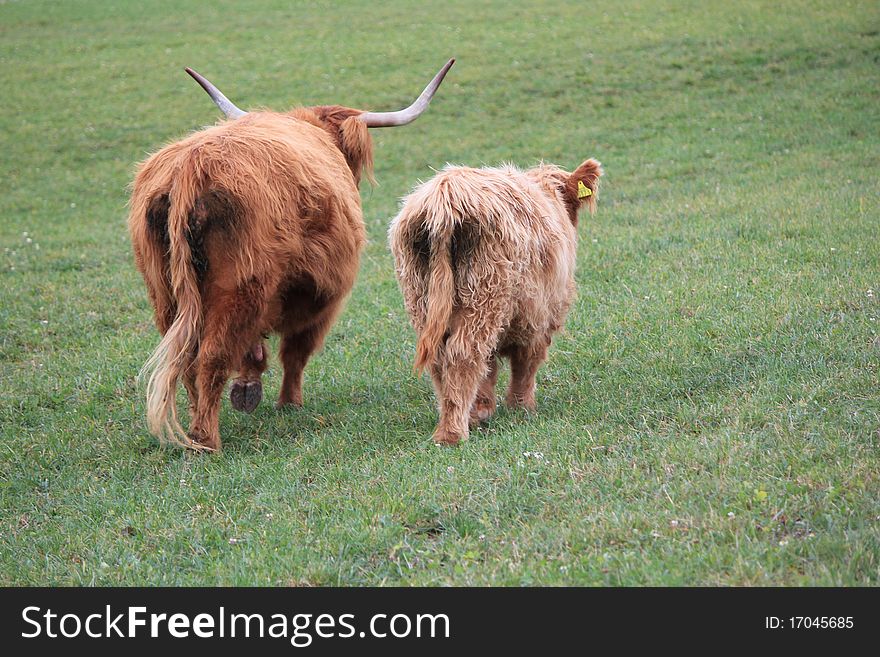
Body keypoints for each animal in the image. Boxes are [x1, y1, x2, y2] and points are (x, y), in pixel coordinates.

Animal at [129, 60, 454, 452]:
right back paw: (206, 438)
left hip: (164, 292)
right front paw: (288, 401)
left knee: (187, 359)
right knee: (212, 355)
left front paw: (249, 385)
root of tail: (191, 168)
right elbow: (296, 350)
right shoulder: (324, 294)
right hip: (241, 285)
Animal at [388, 160, 600, 446]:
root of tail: (444, 197)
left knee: (442, 359)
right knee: (464, 354)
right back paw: (454, 433)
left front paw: (483, 407)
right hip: (484, 297)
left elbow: (489, 368)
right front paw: (521, 407)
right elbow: (526, 363)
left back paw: (453, 420)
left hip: (424, 301)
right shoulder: (540, 315)